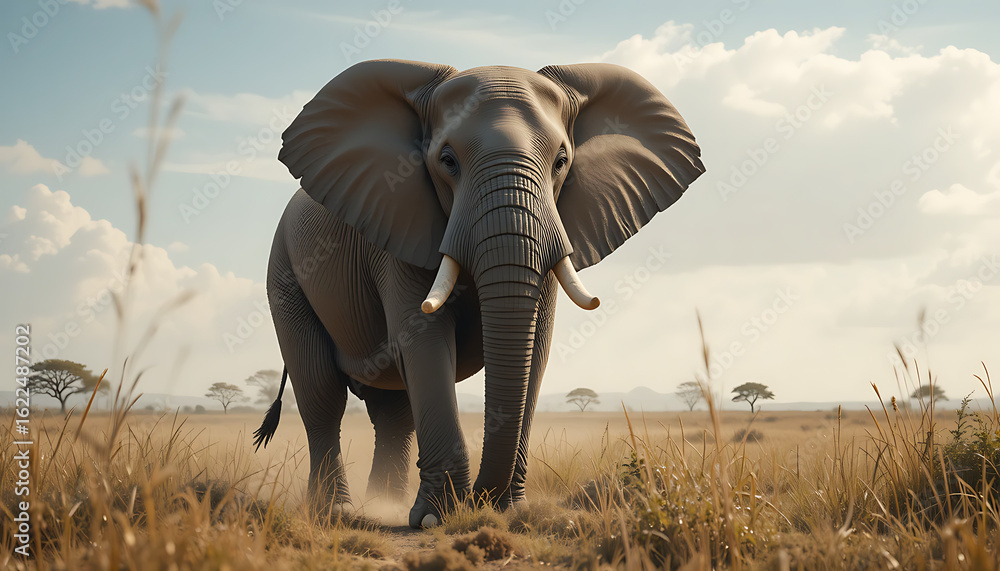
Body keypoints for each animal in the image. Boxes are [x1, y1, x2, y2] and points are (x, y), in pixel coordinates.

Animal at [252, 59, 704, 528]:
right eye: (447, 161)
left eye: (561, 161)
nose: (481, 501)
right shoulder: (398, 231)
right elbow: (425, 340)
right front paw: (435, 519)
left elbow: (536, 348)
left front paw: (508, 510)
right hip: (285, 272)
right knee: (321, 393)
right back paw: (336, 510)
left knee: (392, 413)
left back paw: (384, 502)